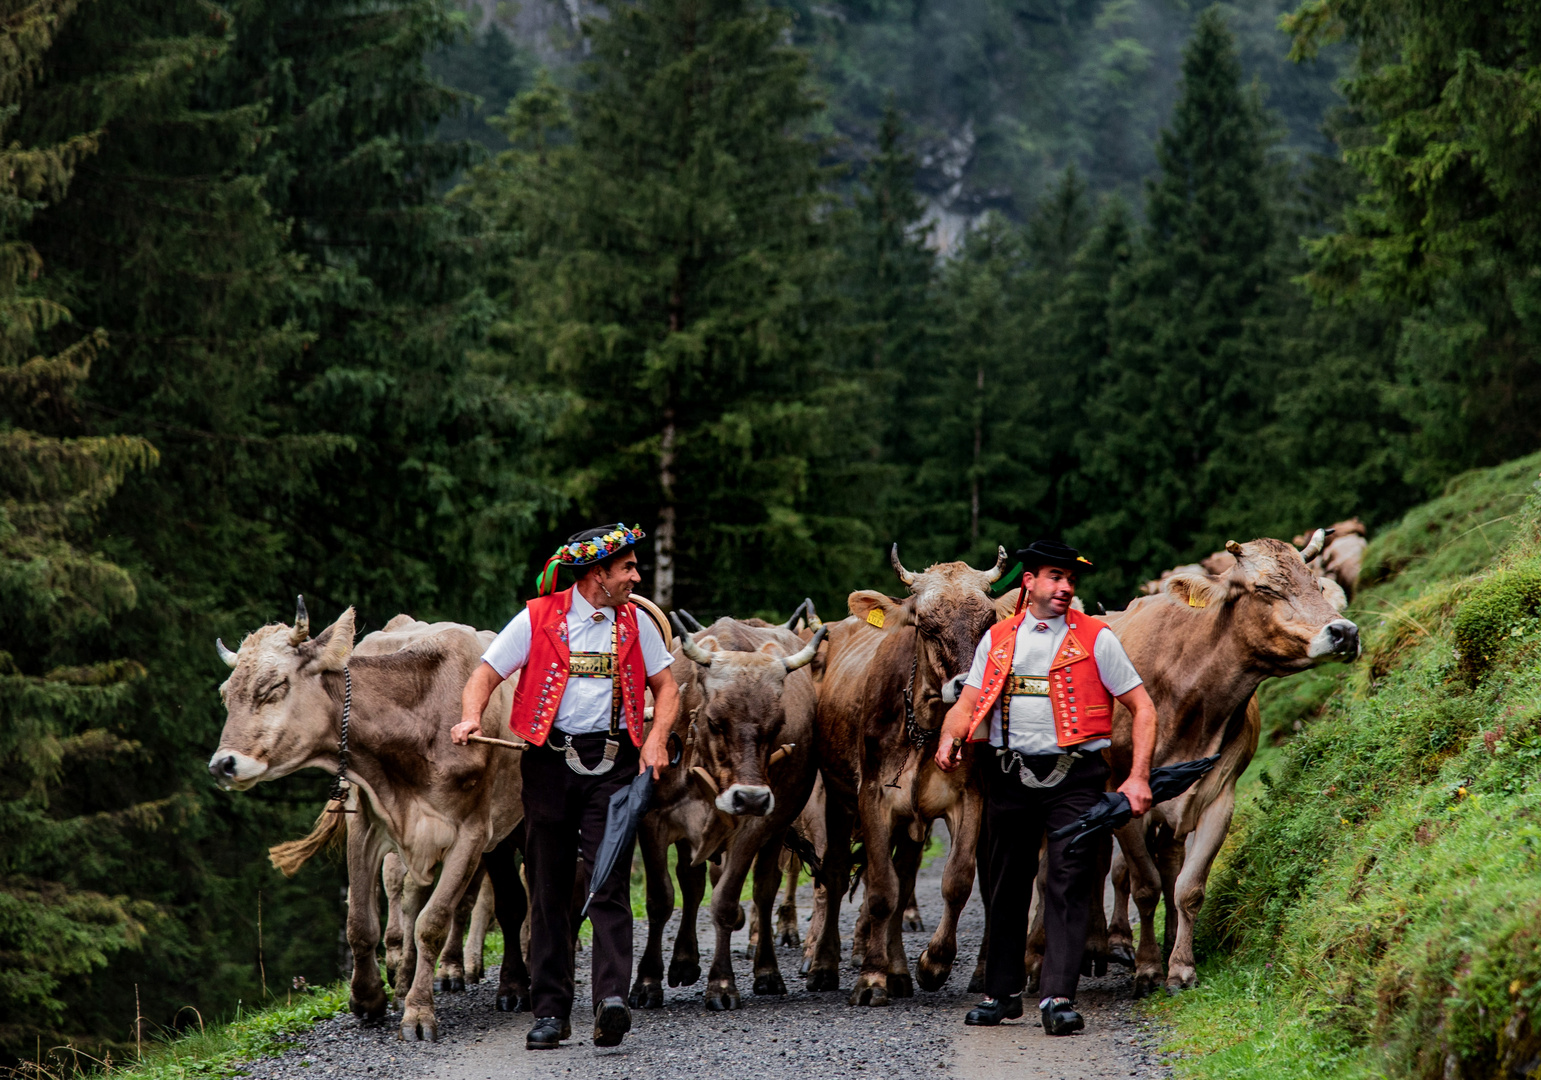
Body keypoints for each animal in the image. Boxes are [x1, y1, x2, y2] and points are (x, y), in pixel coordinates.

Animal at [211, 603, 527, 1041]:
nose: (221, 765)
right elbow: (360, 922)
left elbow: (433, 922)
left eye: (273, 686)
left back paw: (512, 987)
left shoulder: (473, 833)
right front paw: (368, 999)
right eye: (226, 694)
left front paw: (419, 1011)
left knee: (513, 903)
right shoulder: (364, 824)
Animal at [625, 616, 825, 1010]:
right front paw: (647, 981)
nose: (750, 798)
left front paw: (721, 984)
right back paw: (684, 961)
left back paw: (767, 972)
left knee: (764, 890)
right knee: (691, 883)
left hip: (778, 825)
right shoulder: (652, 820)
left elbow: (726, 902)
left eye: (777, 725)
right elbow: (660, 899)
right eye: (716, 721)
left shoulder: (753, 828)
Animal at [801, 548, 1004, 1004]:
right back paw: (824, 966)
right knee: (836, 874)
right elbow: (880, 891)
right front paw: (871, 977)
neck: (925, 729)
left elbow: (956, 880)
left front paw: (933, 964)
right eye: (925, 625)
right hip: (838, 801)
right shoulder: (872, 798)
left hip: (912, 820)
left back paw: (899, 971)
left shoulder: (969, 798)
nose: (968, 687)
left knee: (905, 874)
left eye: (988, 622)